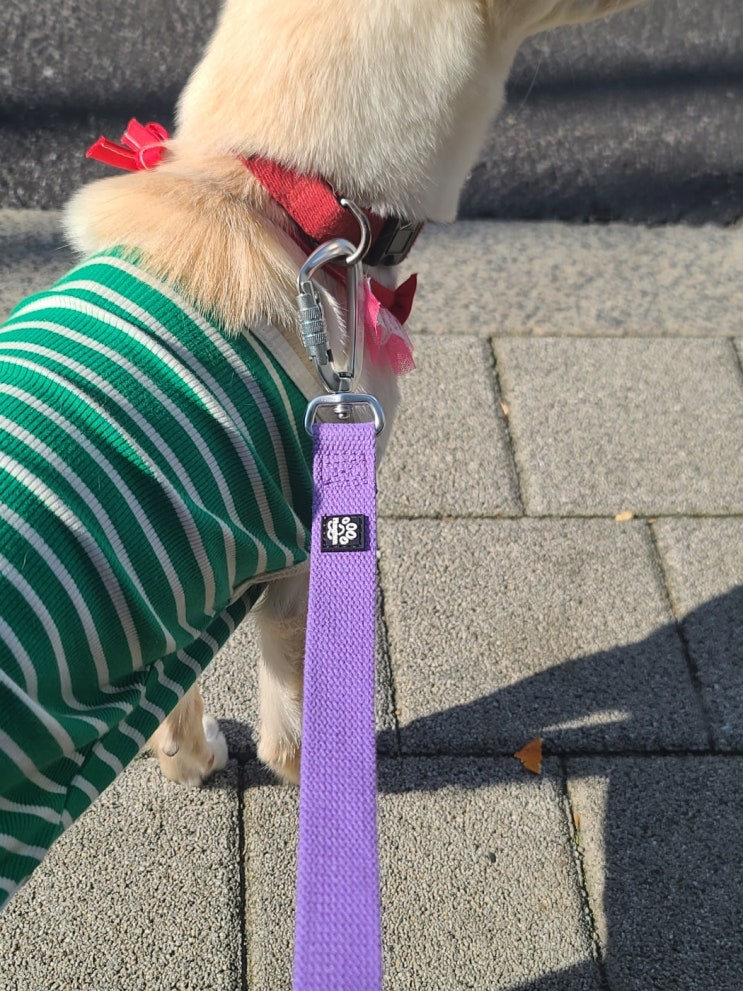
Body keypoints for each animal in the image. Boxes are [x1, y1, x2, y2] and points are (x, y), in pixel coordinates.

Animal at [0, 0, 642, 909]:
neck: (285, 199)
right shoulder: (302, 559)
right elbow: (298, 728)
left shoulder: (176, 607)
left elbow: (172, 694)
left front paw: (185, 756)